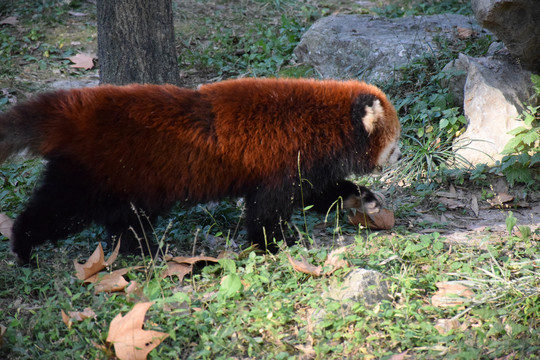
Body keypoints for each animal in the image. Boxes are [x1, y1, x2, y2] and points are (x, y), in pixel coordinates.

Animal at [0, 79, 400, 264]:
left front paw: (362, 199)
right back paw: (23, 247)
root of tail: (79, 111)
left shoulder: (302, 167)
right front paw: (275, 246)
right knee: (57, 212)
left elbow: (318, 193)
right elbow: (266, 212)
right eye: (395, 146)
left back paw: (143, 250)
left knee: (128, 219)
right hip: (91, 177)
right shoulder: (280, 163)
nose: (398, 159)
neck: (323, 124)